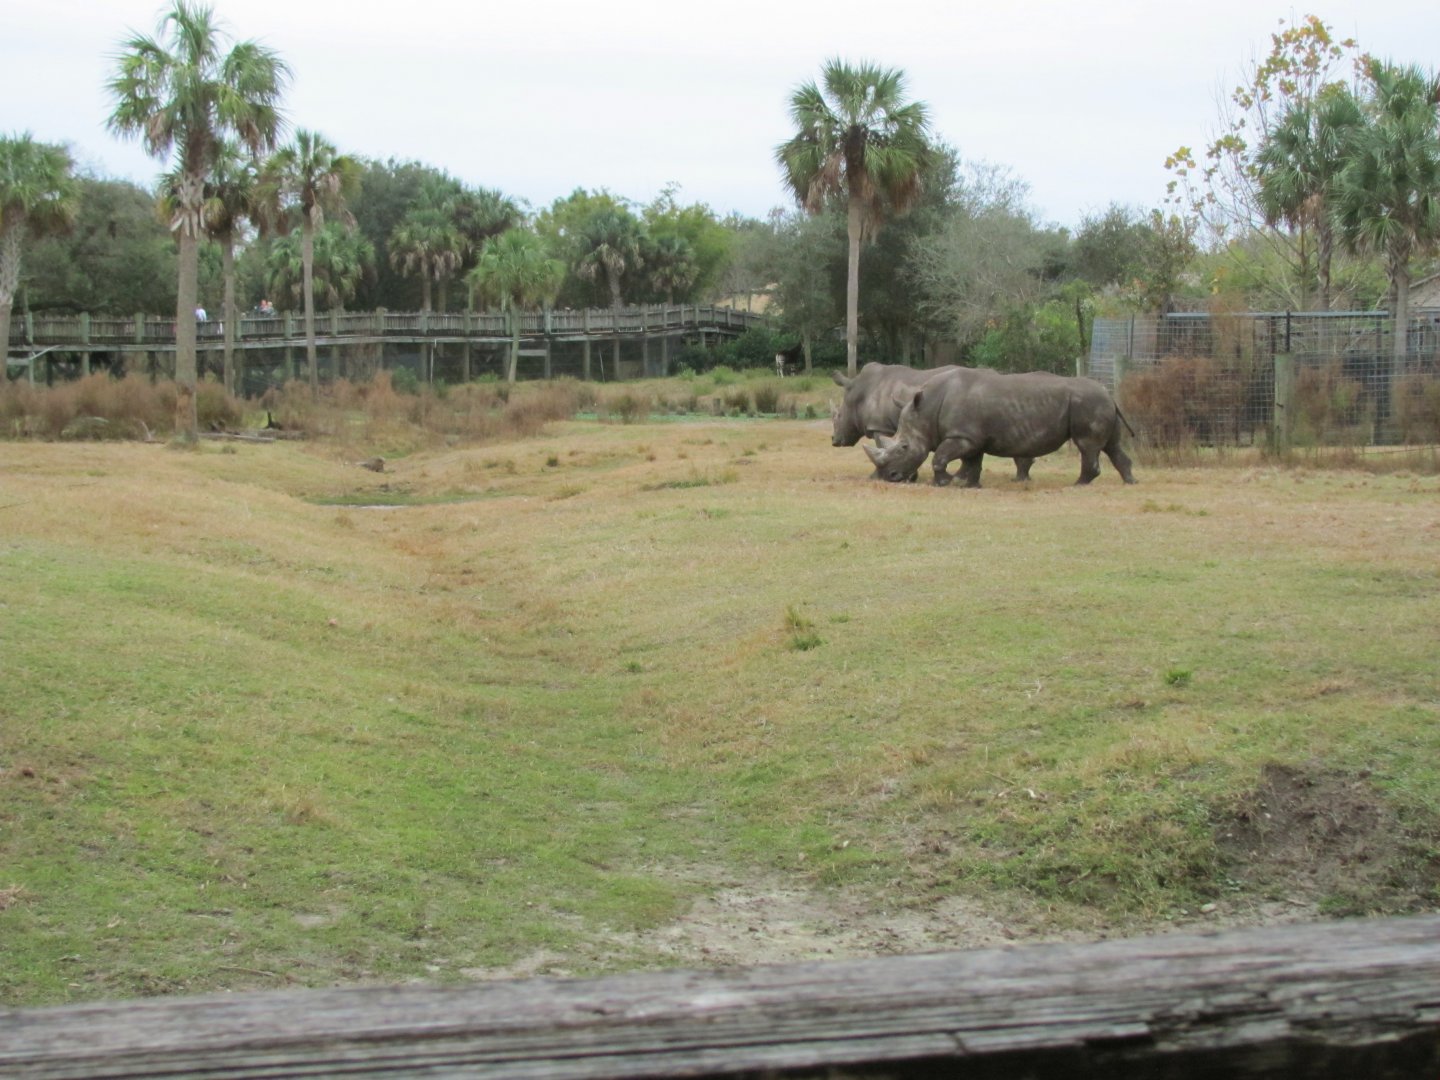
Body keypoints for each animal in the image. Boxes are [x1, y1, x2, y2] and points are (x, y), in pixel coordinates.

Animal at [832, 363, 1034, 480]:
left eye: (839, 416)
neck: (858, 392)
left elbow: (884, 447)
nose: (834, 440)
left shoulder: (880, 426)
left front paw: (876, 476)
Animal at [864, 368, 1137, 487]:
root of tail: (1110, 395)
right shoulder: (971, 438)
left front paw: (944, 482)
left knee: (1087, 445)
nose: (891, 477)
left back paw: (1078, 484)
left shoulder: (962, 436)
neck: (928, 410)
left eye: (903, 447)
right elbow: (974, 462)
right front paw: (969, 485)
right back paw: (1130, 482)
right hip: (1099, 404)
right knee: (1112, 445)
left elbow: (939, 457)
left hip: (1089, 403)